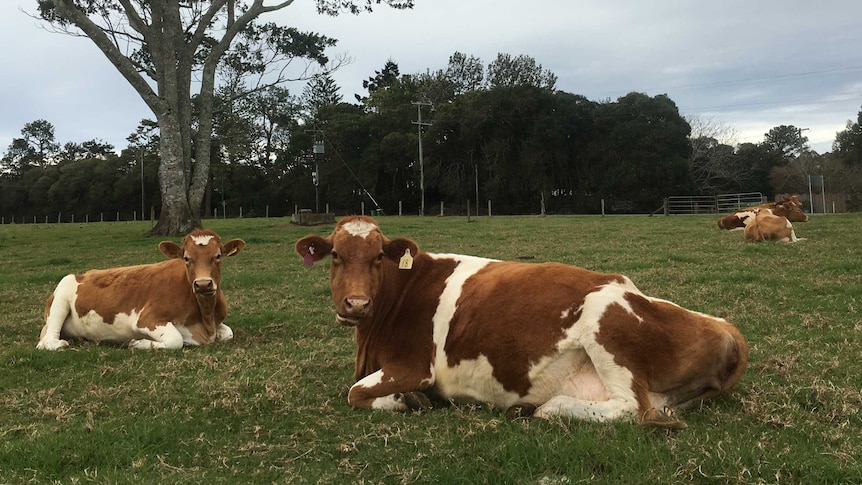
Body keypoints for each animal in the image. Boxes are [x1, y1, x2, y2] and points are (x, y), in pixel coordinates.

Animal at [36, 229, 245, 350]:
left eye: (218, 256)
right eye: (186, 258)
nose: (202, 284)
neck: (205, 319)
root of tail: (82, 274)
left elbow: (228, 333)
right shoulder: (146, 319)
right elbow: (175, 340)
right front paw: (137, 343)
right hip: (61, 298)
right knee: (46, 342)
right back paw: (60, 344)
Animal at [296, 216, 748, 428]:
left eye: (377, 257)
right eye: (335, 255)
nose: (355, 304)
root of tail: (726, 327)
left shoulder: (414, 365)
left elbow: (355, 393)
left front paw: (406, 400)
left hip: (607, 324)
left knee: (630, 409)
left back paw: (543, 408)